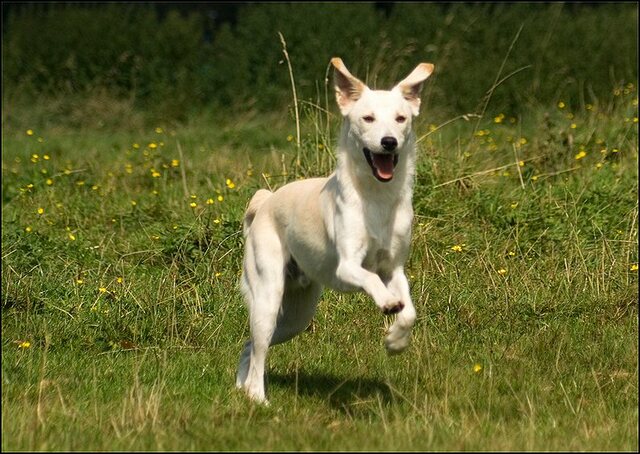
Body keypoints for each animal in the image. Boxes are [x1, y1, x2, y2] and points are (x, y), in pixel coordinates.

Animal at [235, 57, 436, 404]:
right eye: (367, 118)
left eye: (401, 119)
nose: (389, 142)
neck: (377, 198)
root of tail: (265, 201)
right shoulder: (348, 266)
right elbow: (370, 279)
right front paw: (387, 303)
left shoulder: (394, 268)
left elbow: (409, 310)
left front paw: (396, 340)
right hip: (268, 297)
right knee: (258, 349)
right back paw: (258, 398)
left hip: (296, 317)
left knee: (249, 347)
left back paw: (241, 388)